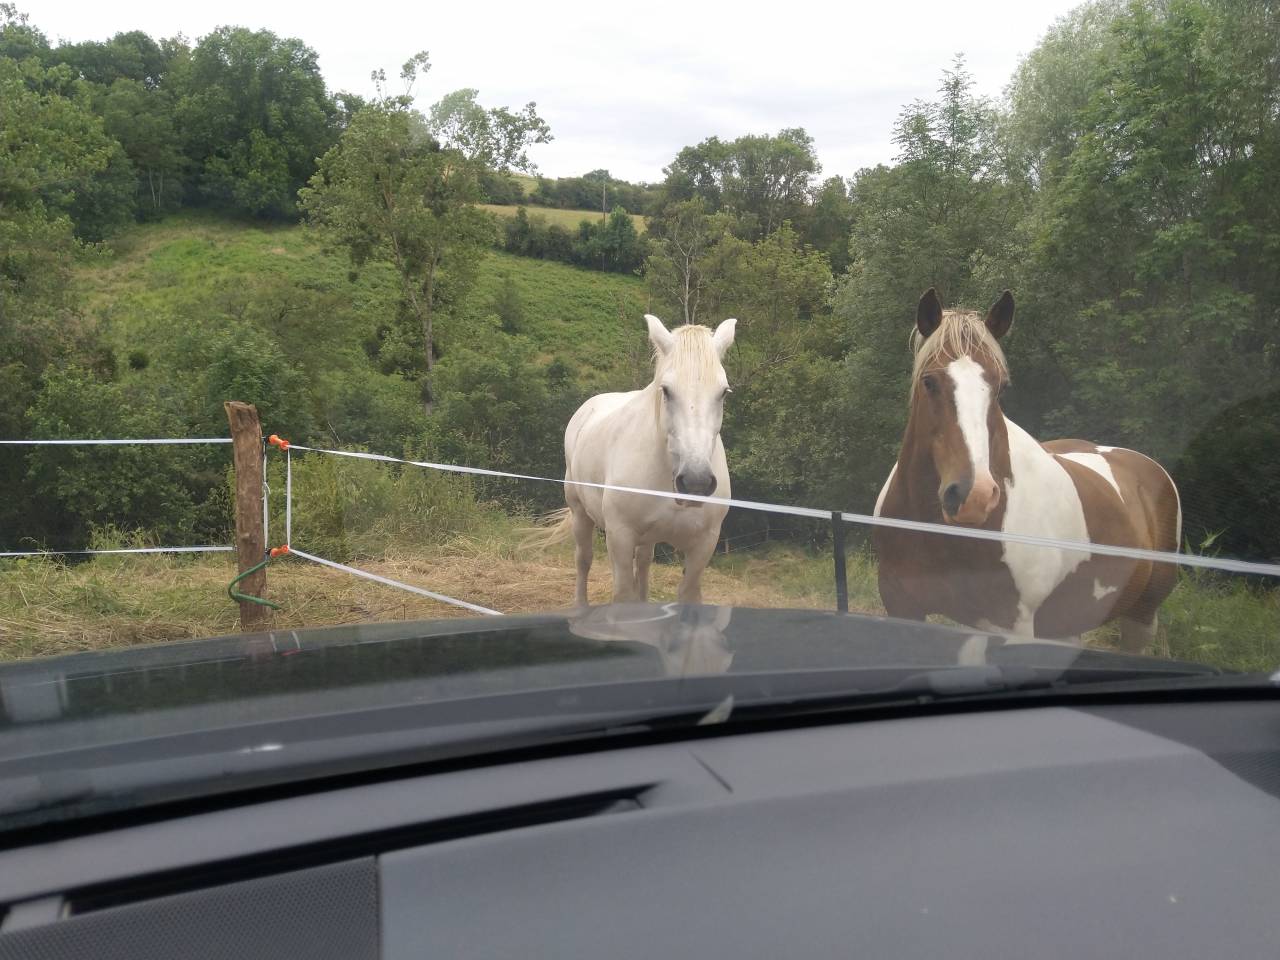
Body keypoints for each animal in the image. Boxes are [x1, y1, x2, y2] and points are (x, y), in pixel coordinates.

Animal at [535, 314, 736, 607]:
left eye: (723, 392)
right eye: (666, 390)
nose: (695, 482)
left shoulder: (703, 545)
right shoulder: (620, 537)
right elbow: (623, 593)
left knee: (642, 564)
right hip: (579, 513)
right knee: (583, 560)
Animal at [872, 289, 1181, 652]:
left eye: (1001, 386)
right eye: (929, 381)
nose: (974, 496)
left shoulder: (1008, 625)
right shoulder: (902, 605)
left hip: (1141, 615)